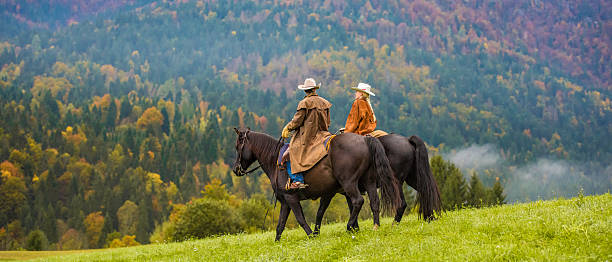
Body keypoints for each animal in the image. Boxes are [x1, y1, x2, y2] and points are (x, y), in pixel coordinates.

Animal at [232, 128, 400, 241]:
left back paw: (349, 227)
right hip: (369, 181)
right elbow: (281, 224)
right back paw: (375, 226)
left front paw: (312, 235)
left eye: (237, 147)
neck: (275, 161)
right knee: (374, 202)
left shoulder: (291, 198)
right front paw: (277, 242)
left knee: (358, 201)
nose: (236, 169)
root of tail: (365, 139)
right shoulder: (289, 201)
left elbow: (300, 219)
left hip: (349, 183)